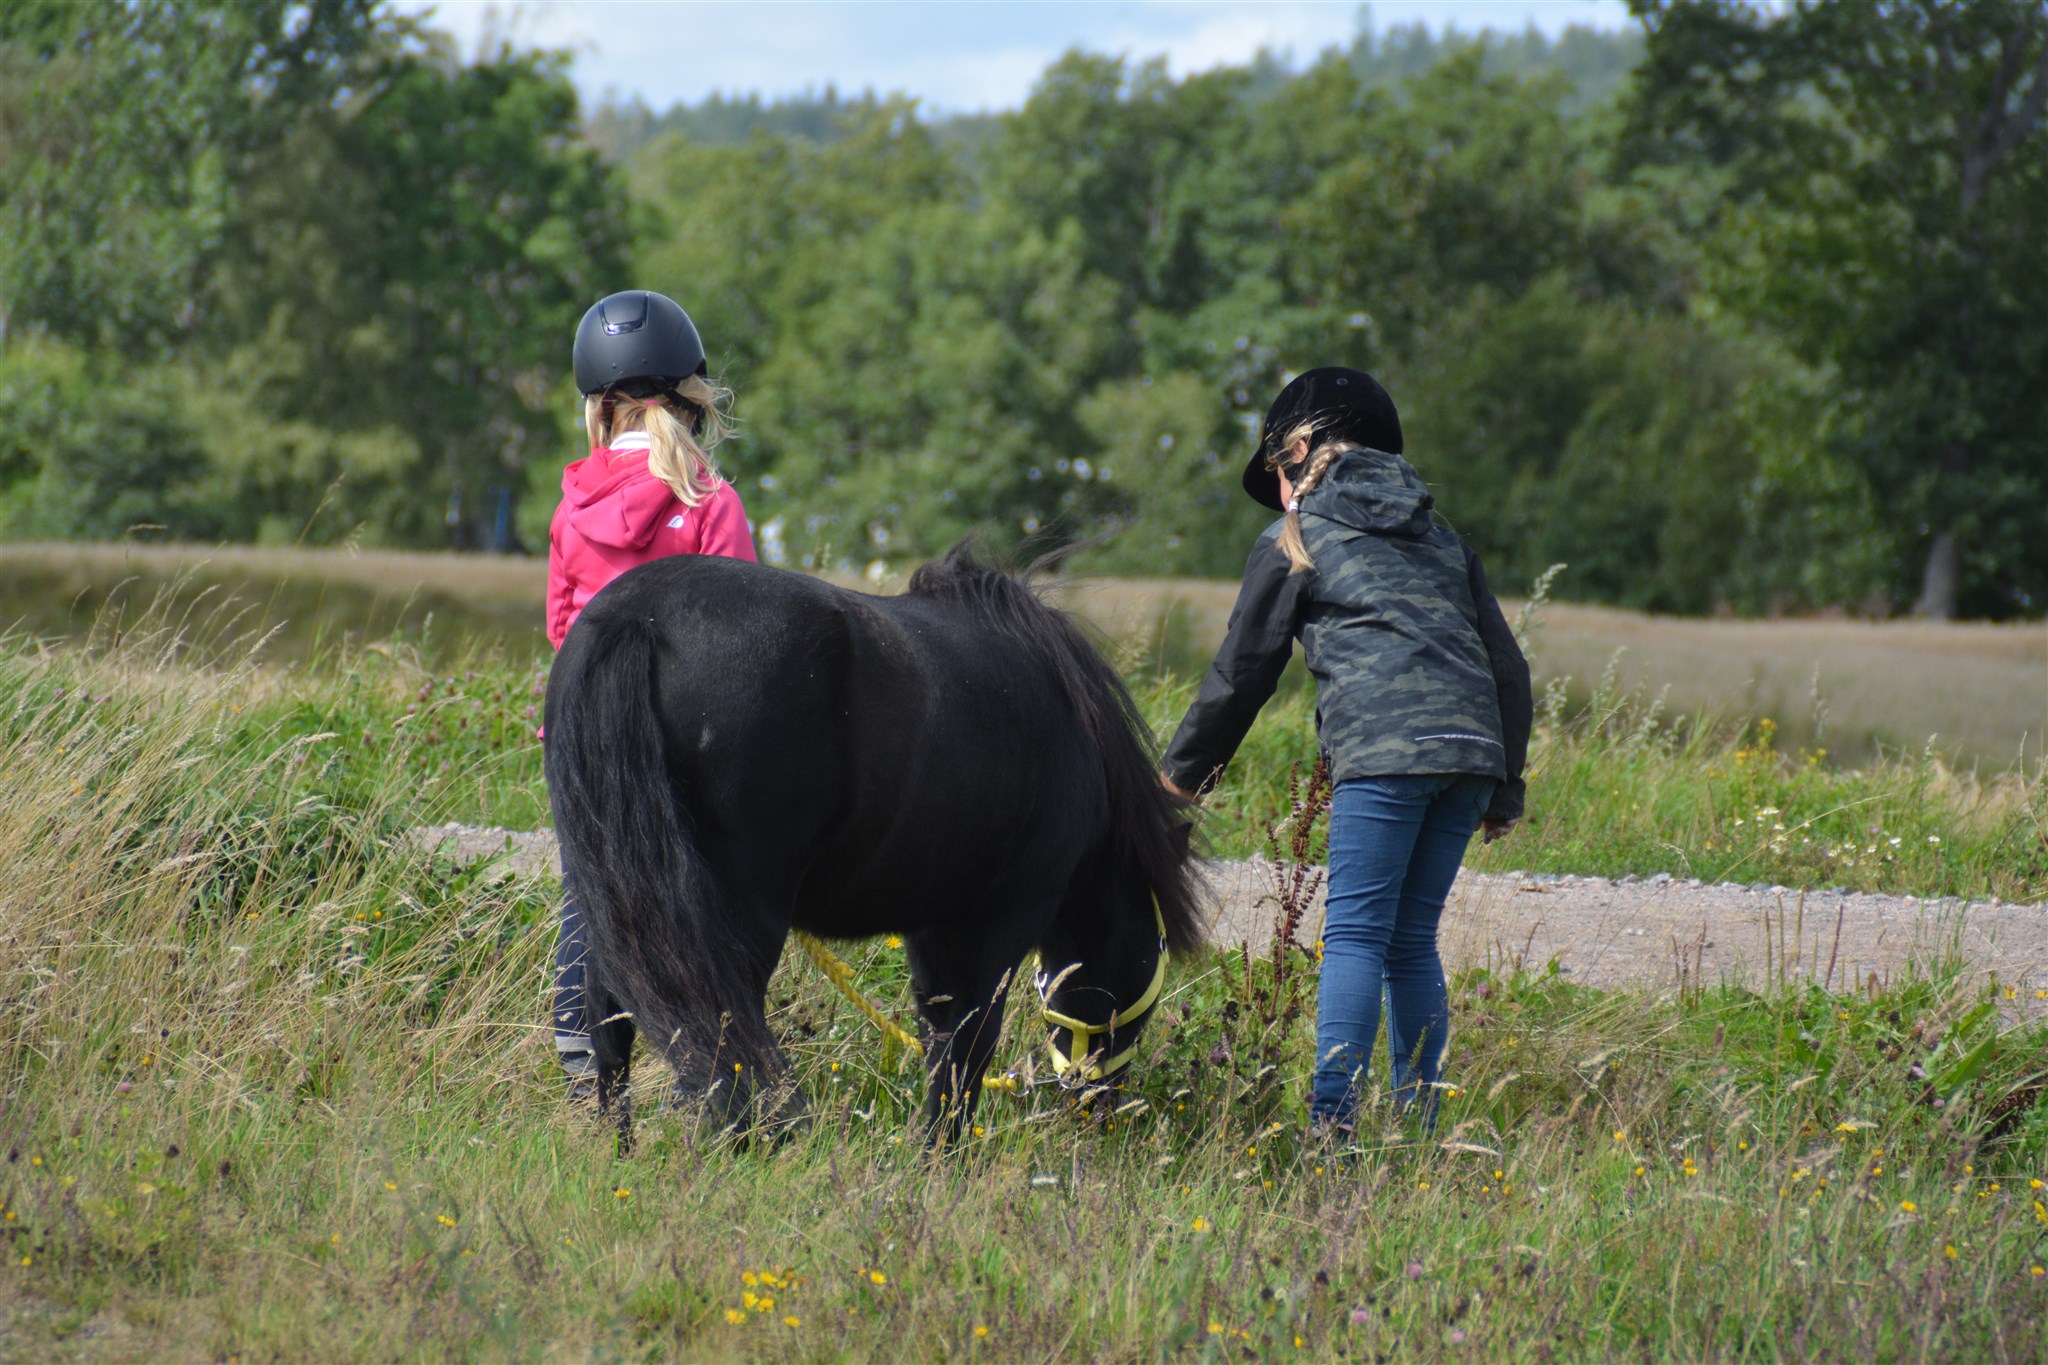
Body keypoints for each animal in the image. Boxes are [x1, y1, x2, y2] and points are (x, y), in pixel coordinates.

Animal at [548, 544, 1212, 1146]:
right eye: (1153, 954)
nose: (1100, 1106)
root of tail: (640, 619)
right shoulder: (999, 919)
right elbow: (967, 1044)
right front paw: (942, 1158)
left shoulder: (936, 926)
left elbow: (942, 1036)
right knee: (717, 1032)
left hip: (610, 895)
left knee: (610, 1020)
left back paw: (619, 1151)